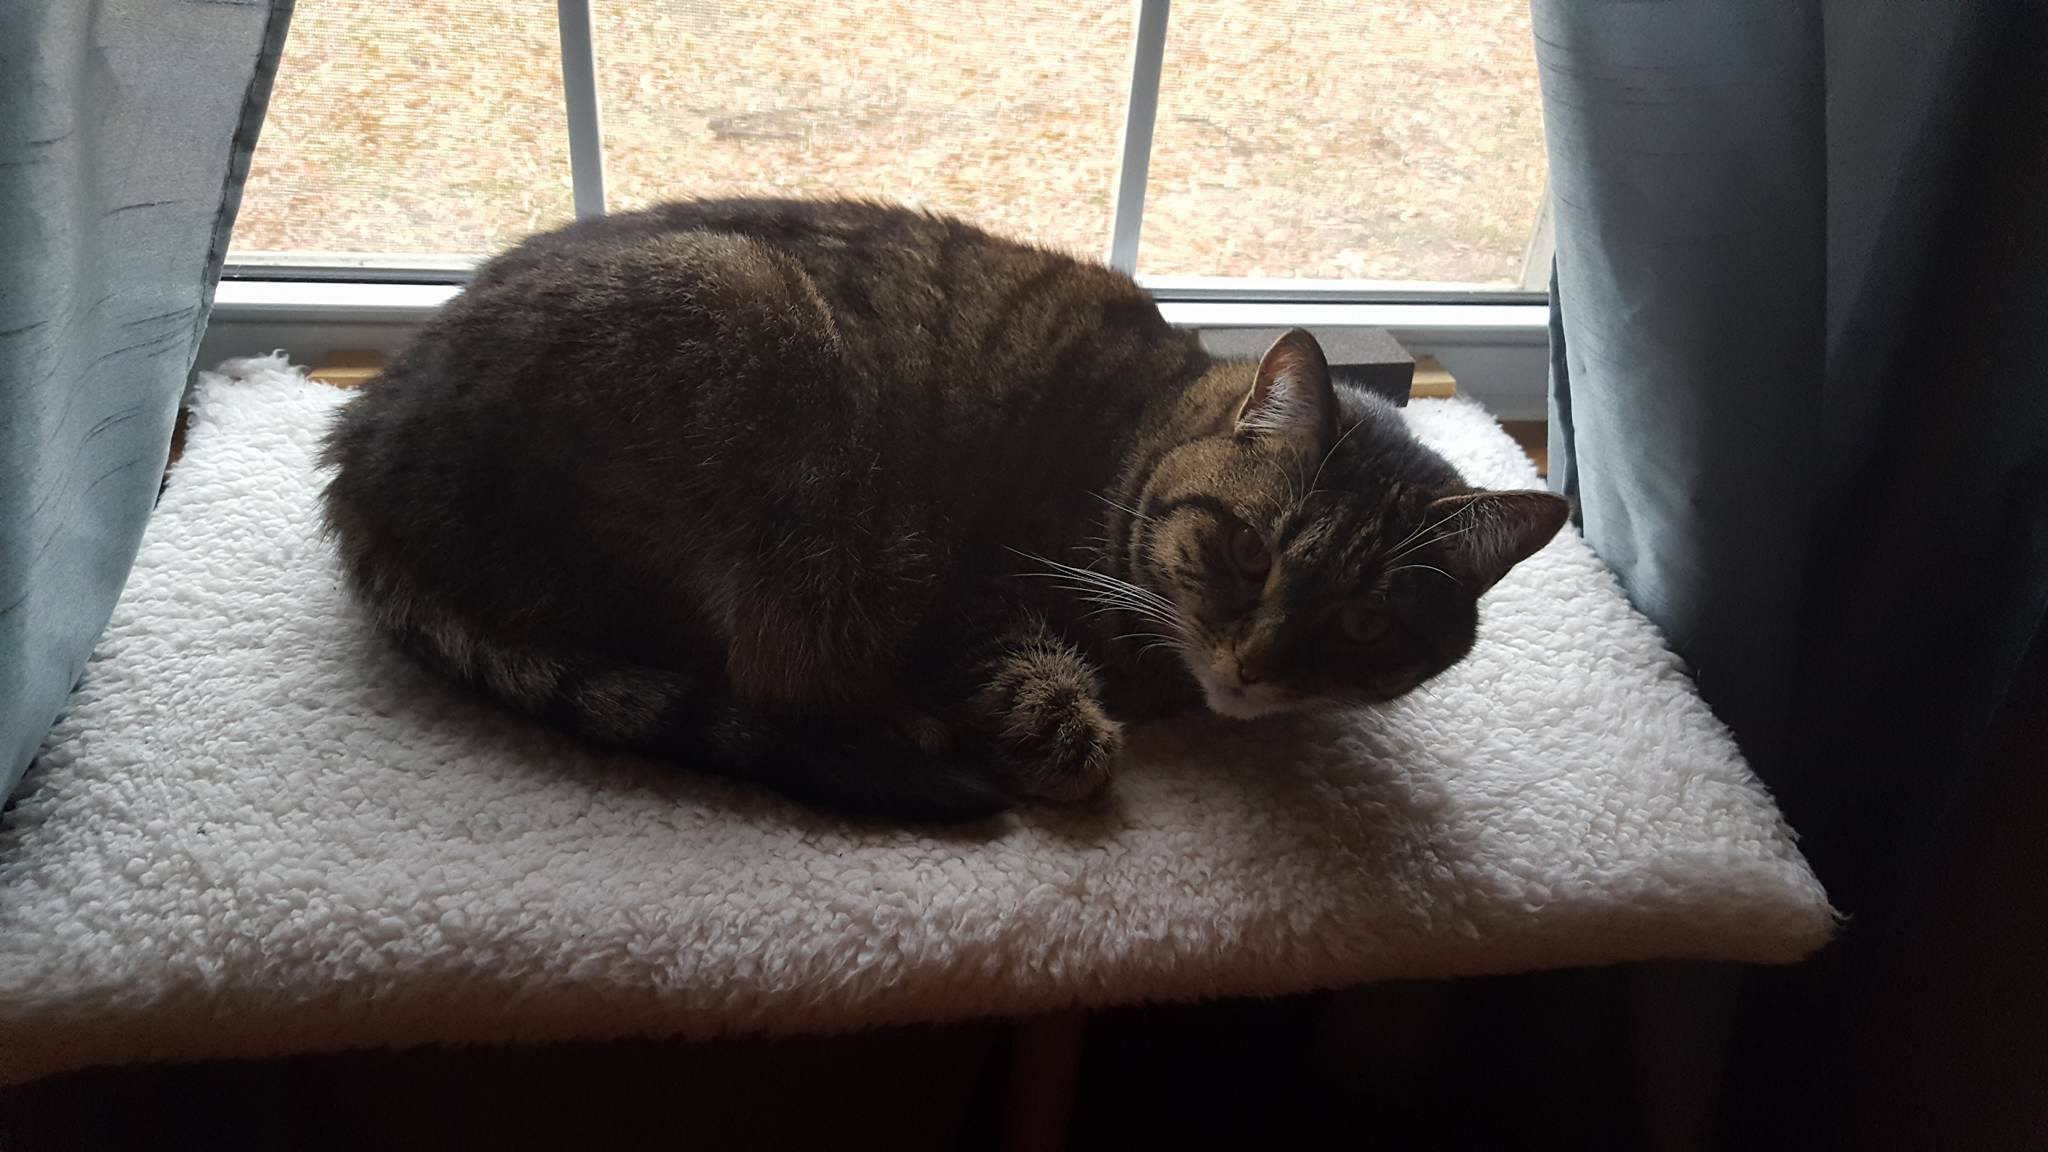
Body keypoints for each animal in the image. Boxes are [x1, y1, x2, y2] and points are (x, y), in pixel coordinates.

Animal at [319, 201, 1564, 819]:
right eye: (1246, 551)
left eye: (1360, 622)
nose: (1252, 665)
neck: (1142, 430)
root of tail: (355, 454)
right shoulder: (963, 593)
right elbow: (1045, 706)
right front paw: (1069, 734)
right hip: (757, 405)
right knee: (759, 675)